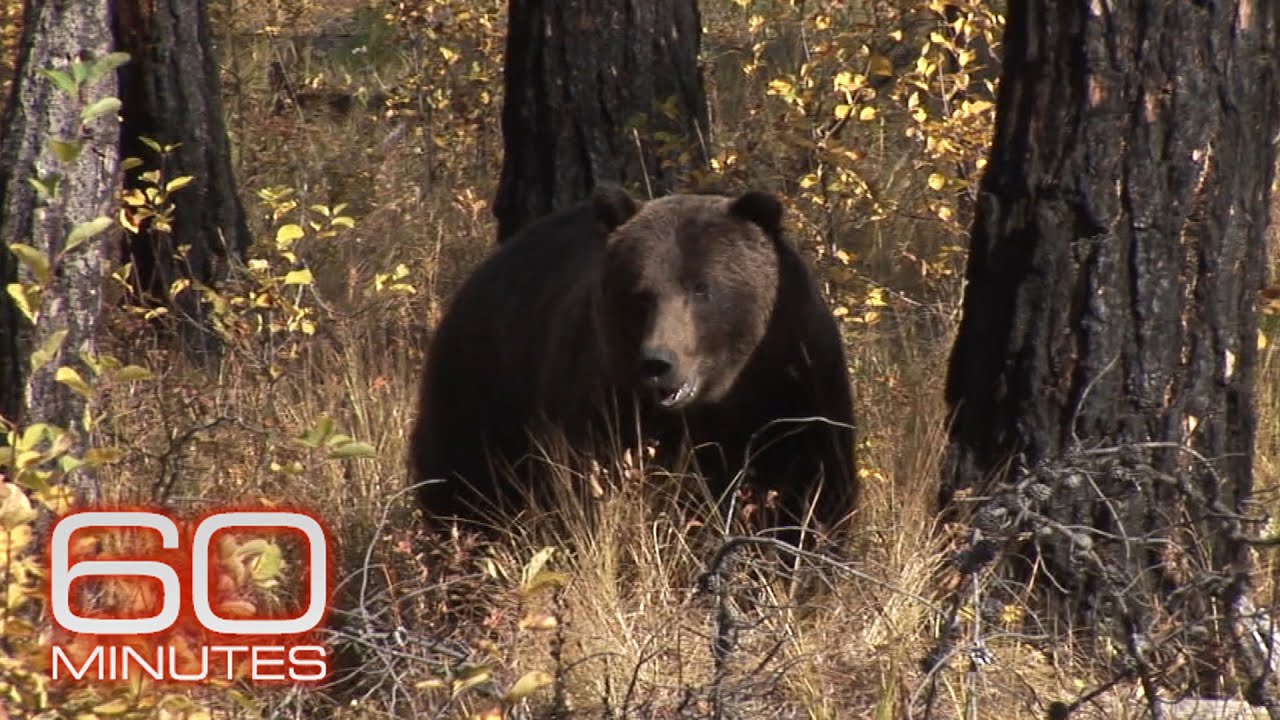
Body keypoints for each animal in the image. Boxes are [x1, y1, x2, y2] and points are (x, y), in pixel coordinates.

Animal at [408, 185, 857, 547]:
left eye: (701, 289)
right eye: (641, 294)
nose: (658, 362)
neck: (716, 400)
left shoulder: (790, 390)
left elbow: (808, 489)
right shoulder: (604, 401)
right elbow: (589, 487)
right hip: (481, 397)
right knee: (464, 492)